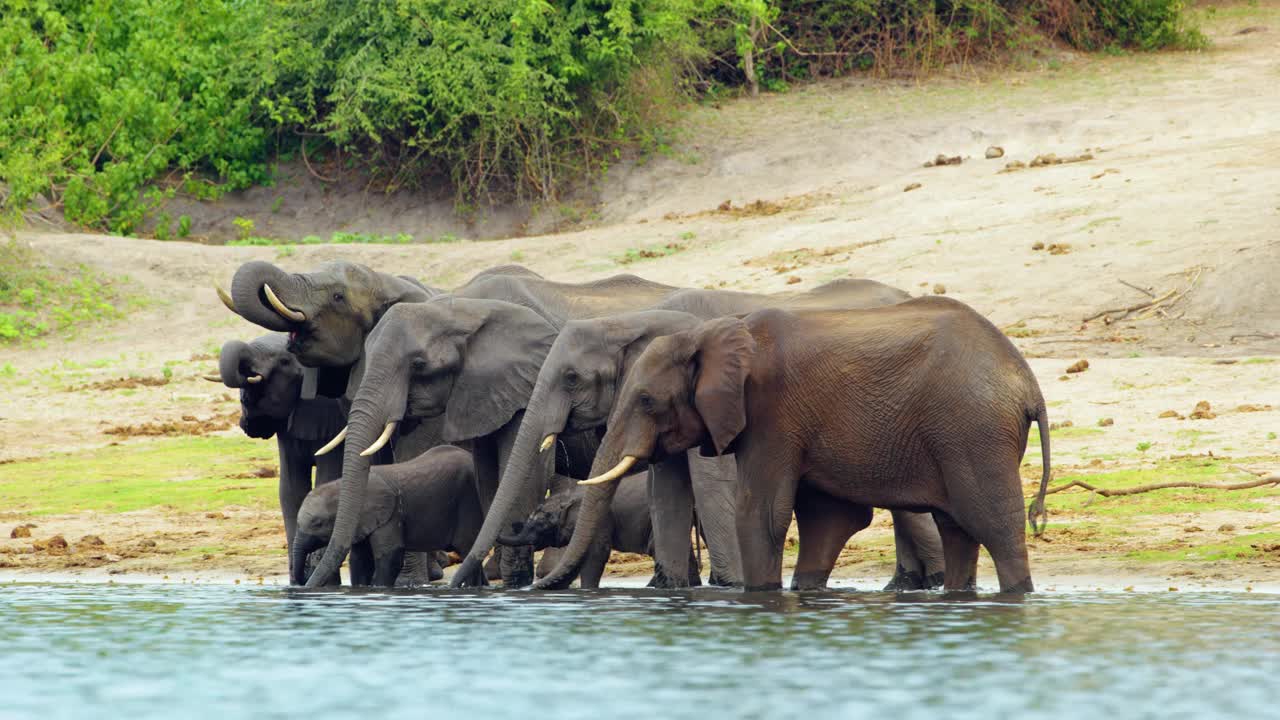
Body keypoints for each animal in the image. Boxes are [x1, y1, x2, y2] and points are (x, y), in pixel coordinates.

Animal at [289, 443, 481, 589]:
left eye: (317, 523)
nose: (300, 583)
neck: (341, 487)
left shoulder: (390, 515)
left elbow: (390, 556)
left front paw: (379, 589)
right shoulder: (364, 521)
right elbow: (360, 560)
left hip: (468, 501)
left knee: (467, 548)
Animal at [565, 294, 1054, 591]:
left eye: (646, 400)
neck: (711, 333)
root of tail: (1028, 382)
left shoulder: (772, 411)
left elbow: (761, 514)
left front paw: (761, 595)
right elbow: (827, 518)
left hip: (973, 429)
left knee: (992, 524)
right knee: (957, 528)